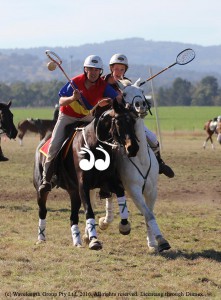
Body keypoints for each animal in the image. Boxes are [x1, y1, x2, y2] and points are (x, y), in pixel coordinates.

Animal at [33, 99, 139, 250]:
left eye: (133, 121)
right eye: (119, 122)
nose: (133, 148)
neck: (95, 146)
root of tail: (42, 142)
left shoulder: (108, 182)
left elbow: (120, 195)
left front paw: (124, 226)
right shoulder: (83, 186)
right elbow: (89, 210)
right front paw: (94, 240)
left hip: (73, 192)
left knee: (73, 217)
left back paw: (77, 242)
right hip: (42, 188)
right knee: (43, 210)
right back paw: (41, 238)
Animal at [96, 80, 171, 253]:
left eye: (142, 91)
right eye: (124, 94)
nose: (140, 105)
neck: (140, 158)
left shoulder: (151, 190)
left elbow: (149, 213)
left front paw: (153, 242)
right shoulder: (133, 190)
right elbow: (148, 215)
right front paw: (161, 240)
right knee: (108, 197)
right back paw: (105, 221)